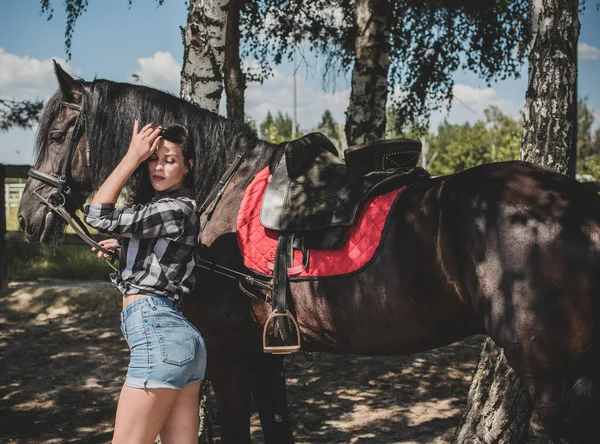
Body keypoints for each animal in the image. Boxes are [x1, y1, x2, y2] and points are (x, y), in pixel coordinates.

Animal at [17, 63, 600, 444]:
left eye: (59, 133)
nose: (28, 217)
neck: (218, 188)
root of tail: (576, 203)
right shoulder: (264, 350)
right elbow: (278, 425)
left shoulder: (228, 349)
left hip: (552, 375)